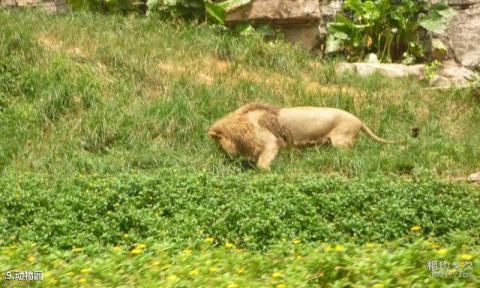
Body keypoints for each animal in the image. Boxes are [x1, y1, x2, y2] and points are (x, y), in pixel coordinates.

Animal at [209, 102, 398, 170]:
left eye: (218, 145)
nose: (223, 157)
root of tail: (359, 120)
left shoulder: (271, 143)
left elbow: (263, 163)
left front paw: (267, 173)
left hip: (342, 142)